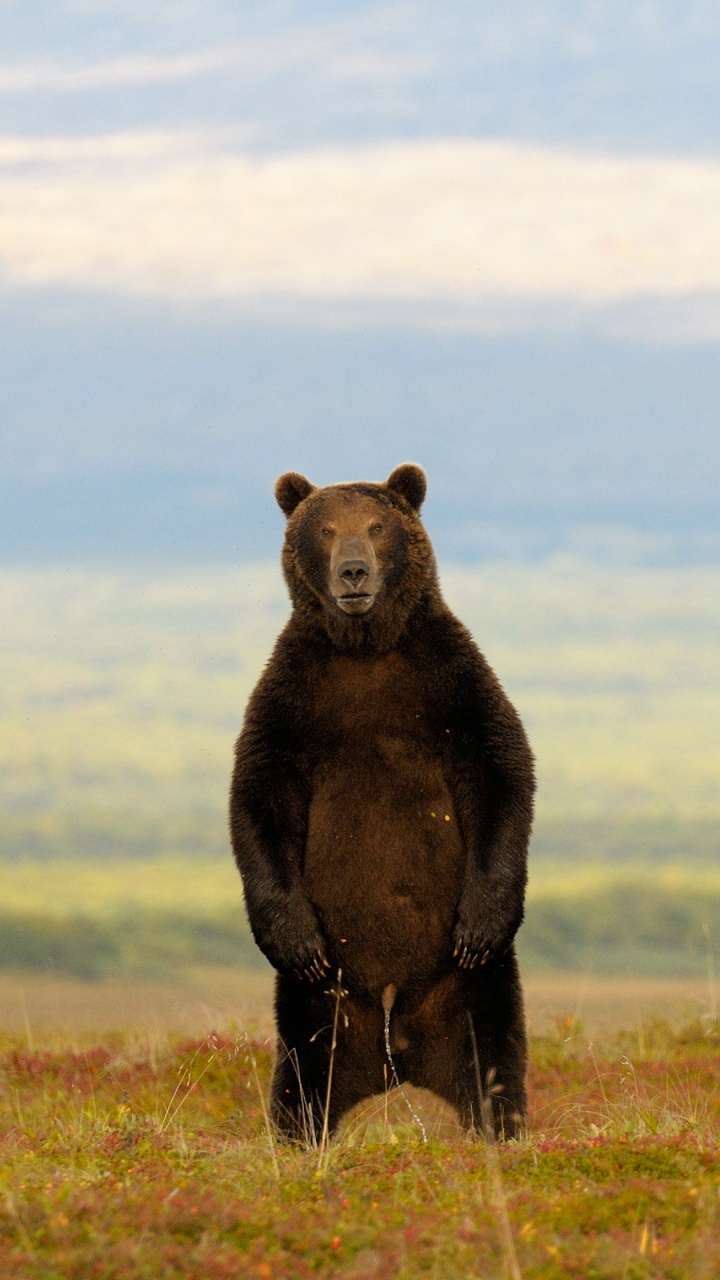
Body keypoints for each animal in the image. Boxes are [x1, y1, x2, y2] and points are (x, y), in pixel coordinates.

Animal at [229, 463, 534, 1142]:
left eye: (376, 525)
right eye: (324, 528)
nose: (353, 571)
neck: (366, 647)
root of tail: (398, 1042)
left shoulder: (449, 680)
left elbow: (502, 768)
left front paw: (481, 921)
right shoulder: (293, 697)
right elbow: (260, 797)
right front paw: (291, 937)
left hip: (464, 988)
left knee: (491, 1049)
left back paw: (499, 1125)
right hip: (329, 999)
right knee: (307, 1065)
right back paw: (298, 1132)